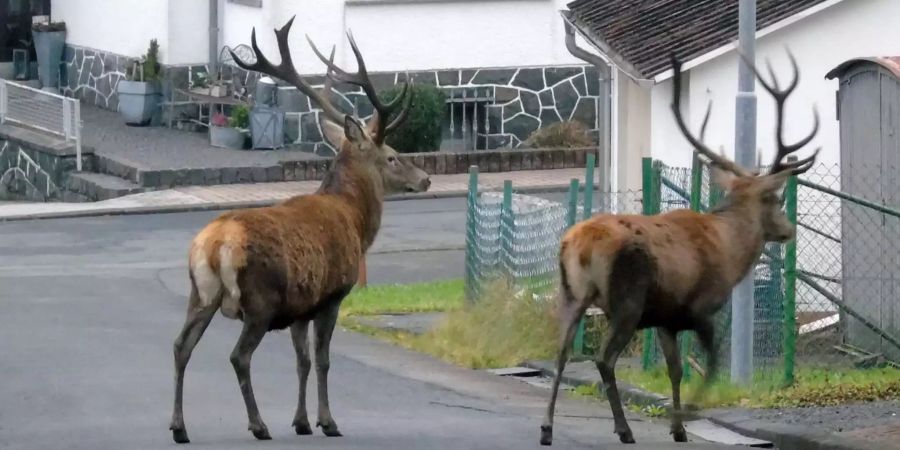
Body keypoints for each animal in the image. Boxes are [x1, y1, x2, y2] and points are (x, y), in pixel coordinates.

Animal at [170, 16, 432, 442]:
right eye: (393, 157)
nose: (425, 179)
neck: (354, 220)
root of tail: (212, 247)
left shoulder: (299, 308)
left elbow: (302, 362)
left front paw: (302, 421)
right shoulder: (331, 296)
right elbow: (323, 360)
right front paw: (328, 421)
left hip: (201, 294)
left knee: (181, 347)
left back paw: (179, 427)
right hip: (259, 300)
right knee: (238, 356)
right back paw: (257, 424)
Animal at [536, 51, 820, 444]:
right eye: (775, 199)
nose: (788, 229)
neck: (730, 248)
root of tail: (578, 246)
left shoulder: (665, 317)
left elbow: (675, 369)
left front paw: (678, 426)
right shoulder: (698, 309)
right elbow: (710, 364)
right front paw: (689, 414)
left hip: (570, 292)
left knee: (561, 351)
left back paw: (547, 428)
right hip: (626, 298)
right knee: (604, 359)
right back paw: (623, 429)